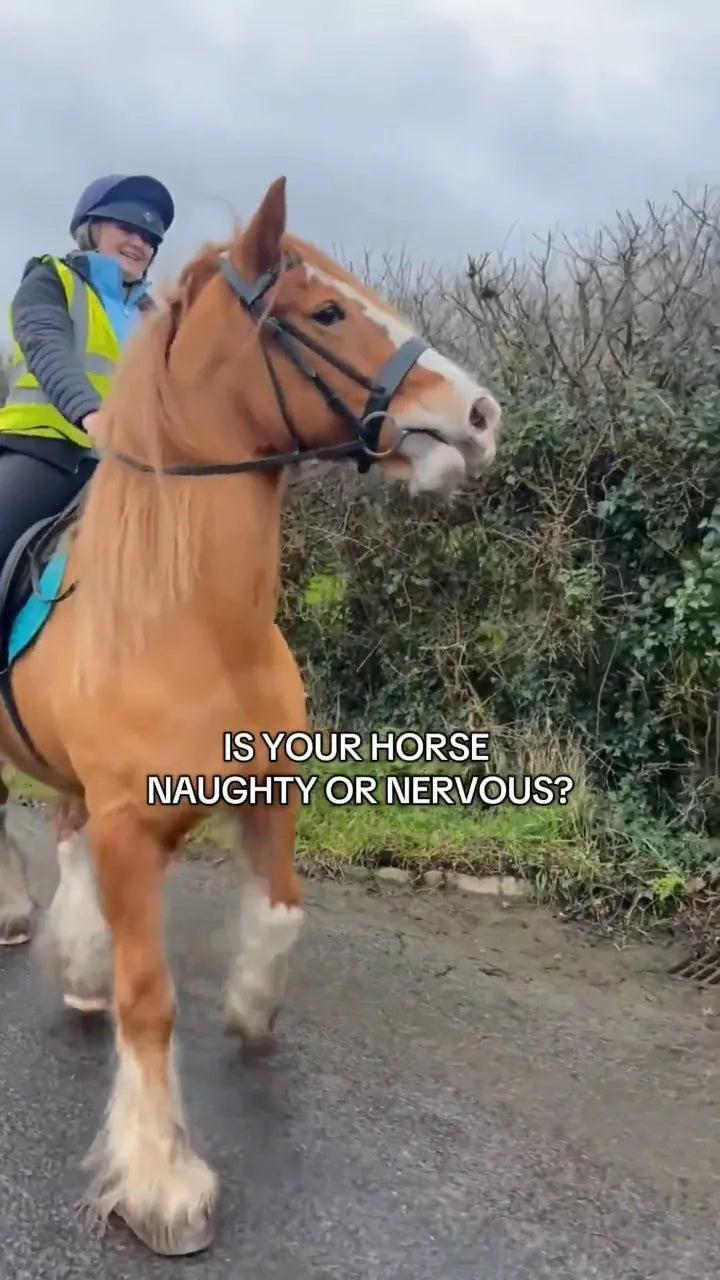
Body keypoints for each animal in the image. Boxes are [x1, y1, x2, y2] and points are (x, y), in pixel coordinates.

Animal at [0, 175, 501, 1256]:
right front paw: (161, 1182)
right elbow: (150, 1002)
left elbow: (277, 914)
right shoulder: (131, 828)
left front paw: (249, 1009)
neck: (191, 620)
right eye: (325, 314)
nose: (480, 414)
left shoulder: (268, 791)